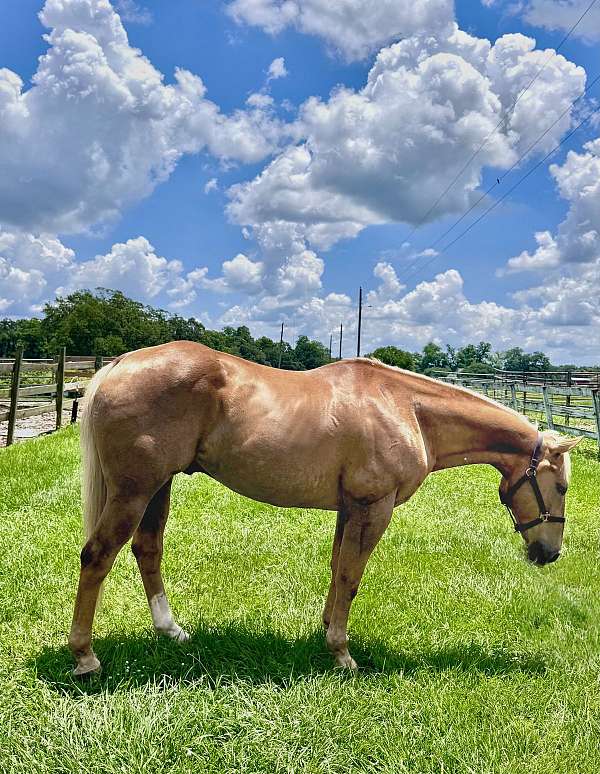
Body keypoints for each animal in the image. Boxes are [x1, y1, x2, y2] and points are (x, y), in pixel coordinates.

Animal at [68, 341, 580, 676]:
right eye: (560, 486)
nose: (549, 553)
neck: (407, 408)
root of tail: (120, 364)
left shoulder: (349, 508)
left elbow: (337, 571)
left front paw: (326, 632)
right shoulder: (373, 507)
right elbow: (352, 577)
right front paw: (342, 654)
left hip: (158, 487)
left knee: (147, 550)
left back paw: (171, 631)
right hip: (134, 491)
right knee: (97, 557)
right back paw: (85, 657)